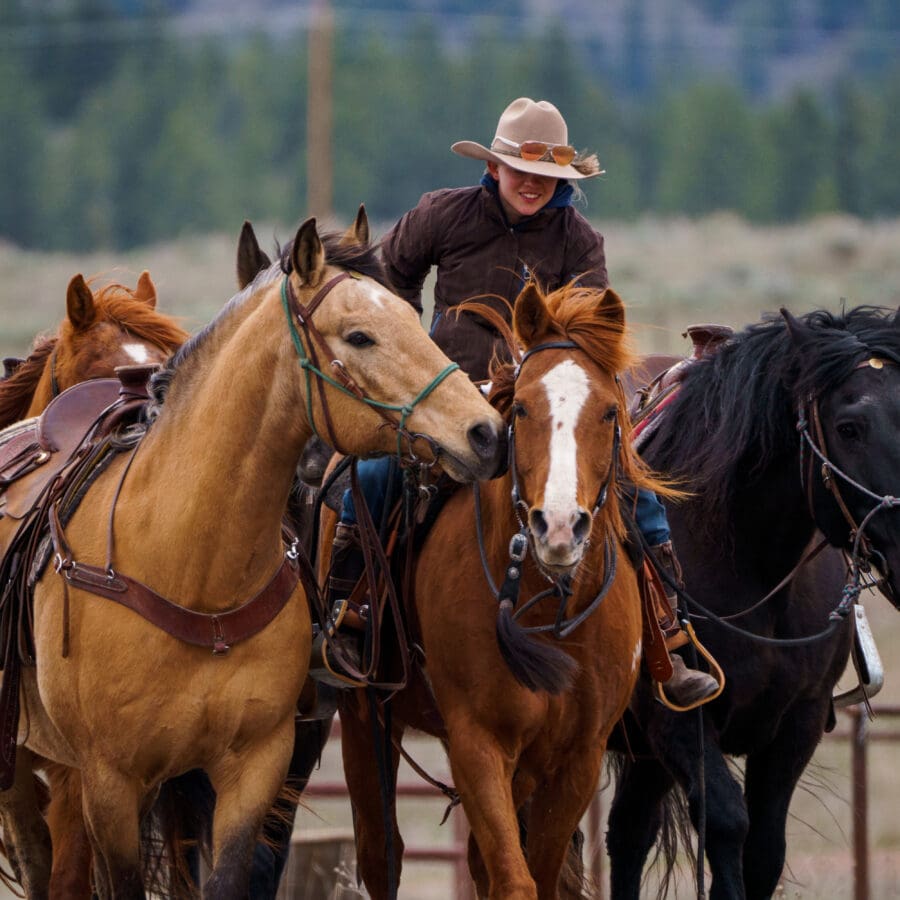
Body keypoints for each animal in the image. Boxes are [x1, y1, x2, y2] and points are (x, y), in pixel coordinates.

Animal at [0, 208, 506, 899]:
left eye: (412, 311)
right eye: (360, 336)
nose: (486, 432)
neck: (192, 564)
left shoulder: (252, 772)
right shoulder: (106, 782)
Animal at [334, 280, 675, 900]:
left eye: (610, 412)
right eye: (520, 407)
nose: (558, 526)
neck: (548, 607)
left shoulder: (578, 757)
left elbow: (536, 870)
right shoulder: (478, 743)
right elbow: (515, 879)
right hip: (365, 719)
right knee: (381, 854)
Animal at [605, 305, 900, 899]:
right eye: (849, 427)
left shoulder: (798, 722)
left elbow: (763, 849)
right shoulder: (680, 721)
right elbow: (726, 824)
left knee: (627, 834)